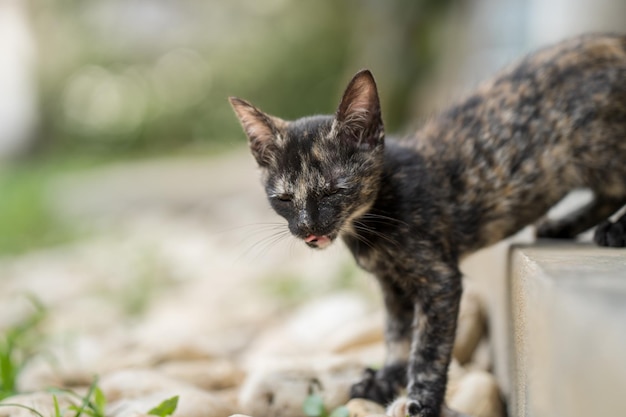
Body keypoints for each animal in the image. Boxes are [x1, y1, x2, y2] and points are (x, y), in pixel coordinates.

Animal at [228, 33, 624, 416]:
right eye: (283, 199)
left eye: (335, 190)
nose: (309, 228)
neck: (373, 217)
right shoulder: (392, 287)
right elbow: (396, 335)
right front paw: (385, 381)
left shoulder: (439, 280)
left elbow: (429, 348)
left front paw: (421, 399)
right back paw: (564, 225)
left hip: (600, 152)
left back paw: (615, 231)